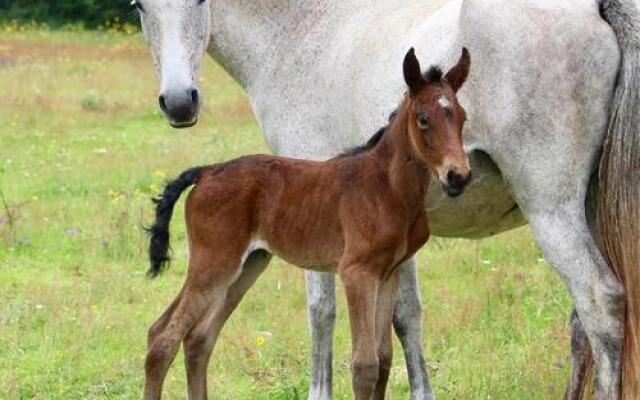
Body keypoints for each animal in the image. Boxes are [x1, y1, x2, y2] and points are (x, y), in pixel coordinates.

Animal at [148, 48, 472, 398]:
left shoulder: (389, 272)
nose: (459, 176)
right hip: (214, 263)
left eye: (462, 117)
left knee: (197, 338)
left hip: (247, 265)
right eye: (423, 119)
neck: (388, 187)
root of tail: (207, 171)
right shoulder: (356, 271)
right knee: (162, 337)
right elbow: (365, 365)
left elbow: (383, 358)